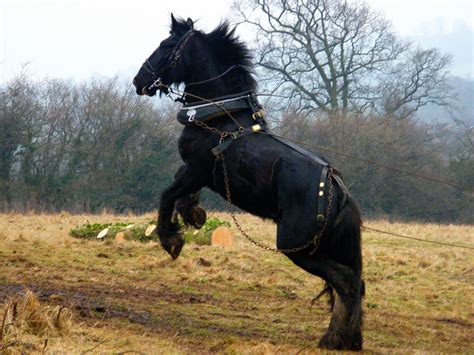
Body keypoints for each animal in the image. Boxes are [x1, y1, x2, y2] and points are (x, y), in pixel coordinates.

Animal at [132, 15, 362, 352]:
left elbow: (167, 194)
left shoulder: (198, 170)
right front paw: (192, 214)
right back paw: (350, 337)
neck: (220, 118)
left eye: (165, 46)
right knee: (356, 283)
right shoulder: (196, 172)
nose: (139, 80)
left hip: (297, 246)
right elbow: (179, 191)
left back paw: (334, 338)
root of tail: (338, 191)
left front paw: (171, 238)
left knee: (347, 282)